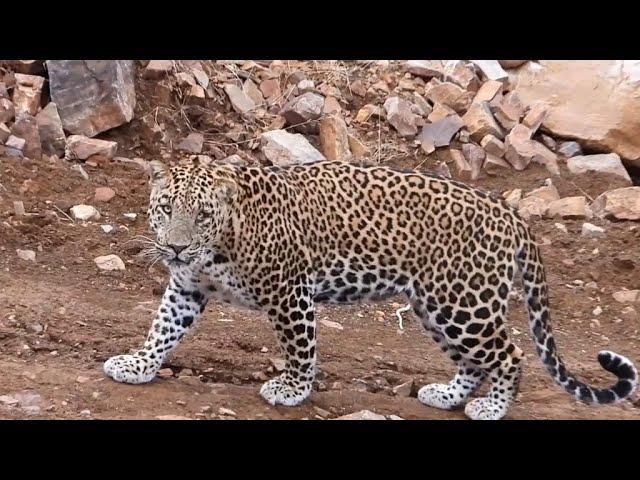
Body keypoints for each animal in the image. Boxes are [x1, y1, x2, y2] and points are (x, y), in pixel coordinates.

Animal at [102, 158, 636, 420]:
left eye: (202, 215)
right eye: (166, 208)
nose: (175, 247)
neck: (222, 240)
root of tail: (510, 212)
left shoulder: (289, 290)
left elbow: (300, 347)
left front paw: (292, 390)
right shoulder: (187, 287)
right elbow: (162, 328)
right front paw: (138, 365)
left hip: (463, 303)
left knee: (509, 354)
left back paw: (492, 408)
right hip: (434, 305)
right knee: (472, 361)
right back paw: (448, 395)